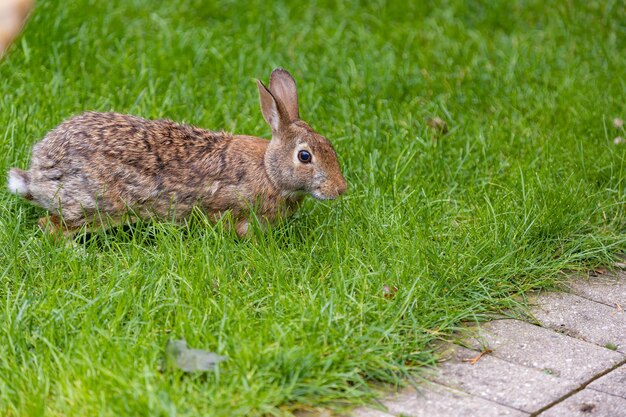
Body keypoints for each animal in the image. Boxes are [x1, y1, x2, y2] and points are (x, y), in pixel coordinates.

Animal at [7, 68, 346, 237]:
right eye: (305, 156)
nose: (340, 189)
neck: (269, 170)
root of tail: (38, 173)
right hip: (98, 206)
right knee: (52, 227)